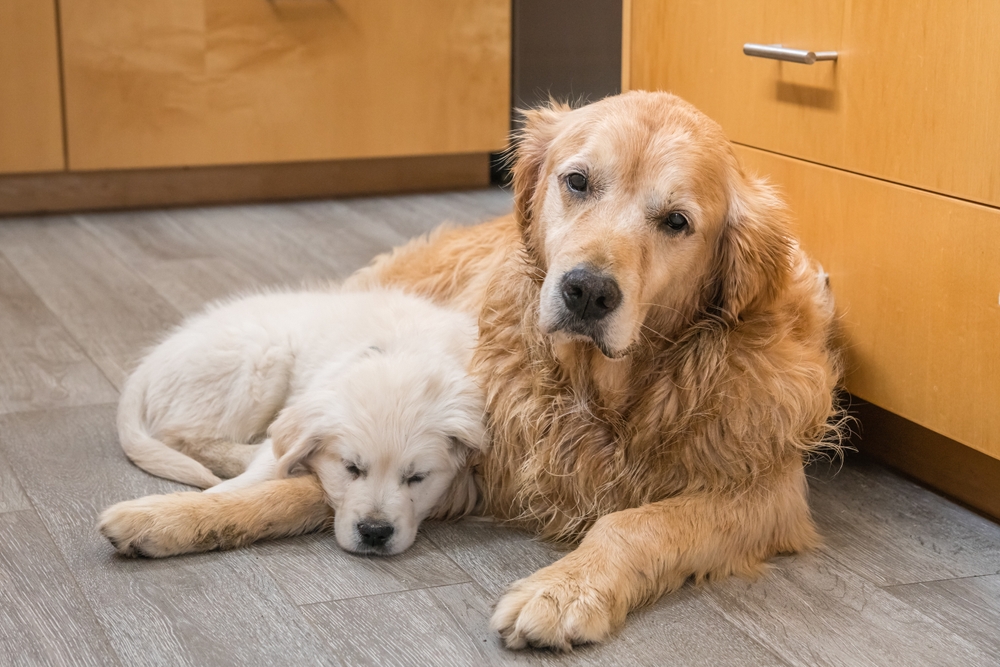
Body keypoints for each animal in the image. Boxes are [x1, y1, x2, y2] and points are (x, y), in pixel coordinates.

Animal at [100, 290, 488, 556]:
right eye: (350, 468)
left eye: (417, 477)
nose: (374, 532)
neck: (404, 354)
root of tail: (150, 362)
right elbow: (259, 473)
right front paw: (183, 512)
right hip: (261, 359)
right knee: (186, 436)